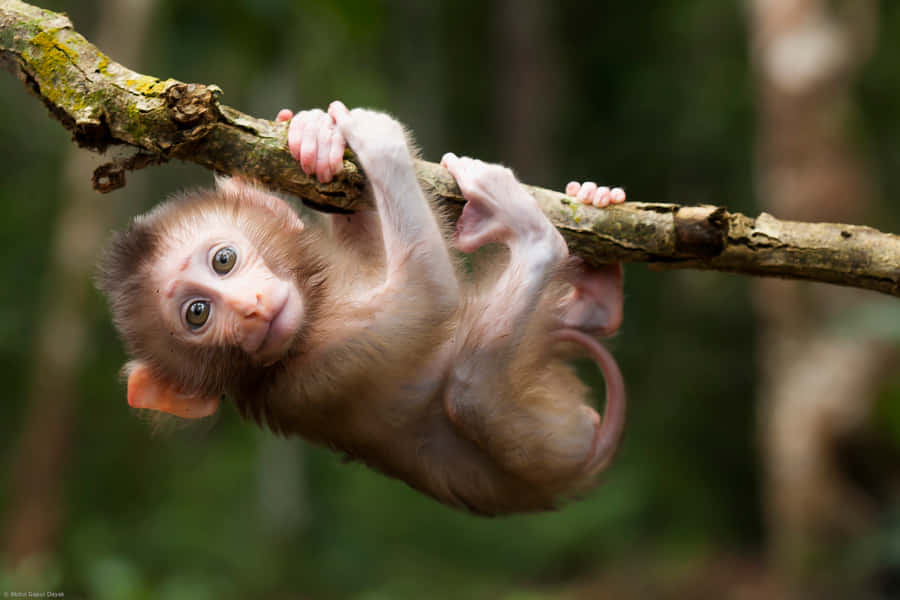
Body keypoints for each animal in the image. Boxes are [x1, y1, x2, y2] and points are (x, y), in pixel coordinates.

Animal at [98, 101, 627, 515]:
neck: (317, 311)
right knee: (470, 390)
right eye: (198, 314)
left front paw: (312, 133)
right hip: (548, 440)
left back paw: (596, 280)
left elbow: (373, 250)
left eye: (223, 260)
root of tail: (582, 470)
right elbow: (430, 292)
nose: (249, 308)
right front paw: (381, 142)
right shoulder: (324, 367)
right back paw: (538, 239)